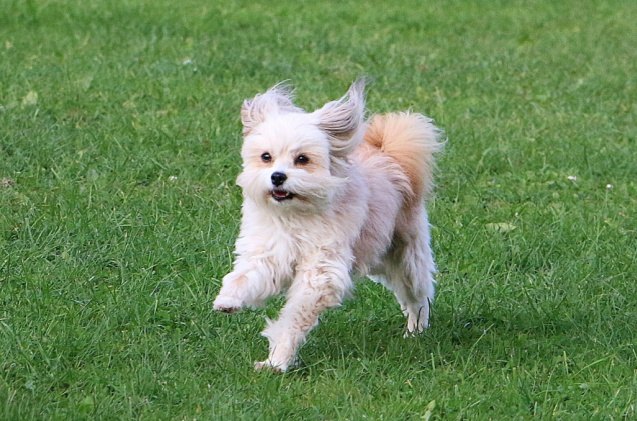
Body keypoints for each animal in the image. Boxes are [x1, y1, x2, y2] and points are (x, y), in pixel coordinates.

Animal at [214, 79, 442, 370]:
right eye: (266, 157)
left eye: (302, 159)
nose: (277, 176)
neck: (295, 214)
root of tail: (387, 152)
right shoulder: (269, 254)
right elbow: (245, 276)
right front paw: (227, 300)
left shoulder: (320, 272)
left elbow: (294, 317)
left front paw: (278, 359)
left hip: (405, 256)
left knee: (418, 296)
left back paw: (416, 329)